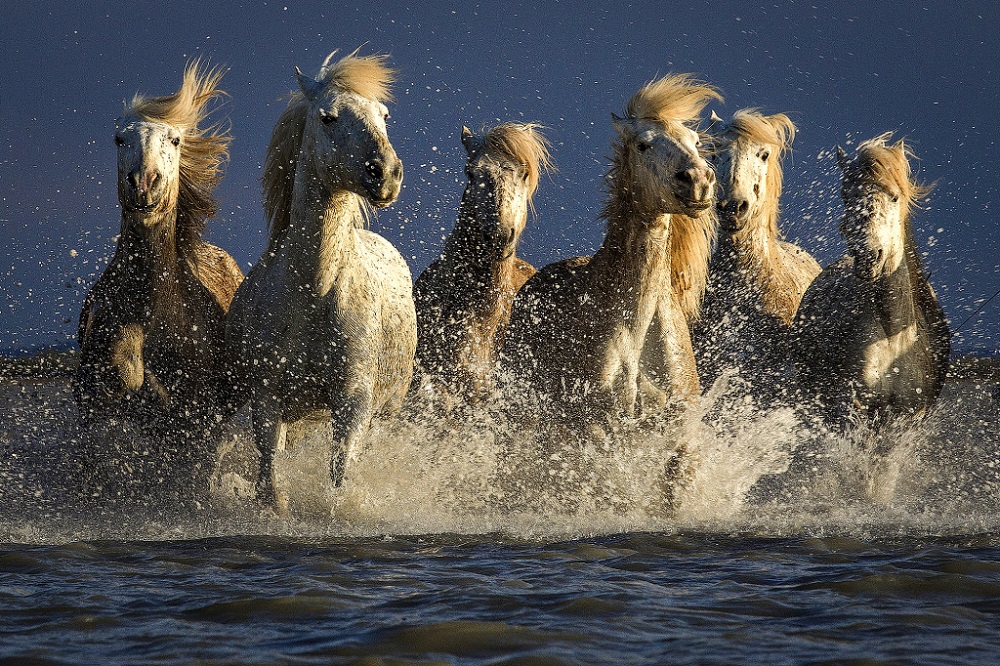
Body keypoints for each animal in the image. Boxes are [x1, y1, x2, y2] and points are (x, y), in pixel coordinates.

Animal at [227, 52, 414, 508]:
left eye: (384, 115)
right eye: (328, 117)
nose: (386, 174)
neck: (314, 292)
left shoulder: (354, 396)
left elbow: (341, 466)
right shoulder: (267, 396)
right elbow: (269, 468)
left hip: (385, 409)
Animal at [792, 132, 948, 428]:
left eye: (895, 197)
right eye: (845, 196)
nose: (867, 255)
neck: (892, 332)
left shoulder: (908, 416)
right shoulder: (853, 409)